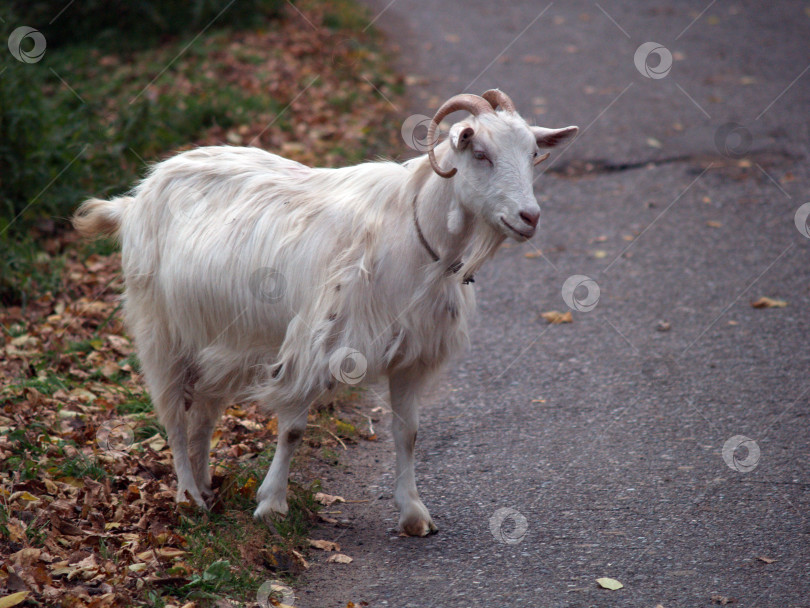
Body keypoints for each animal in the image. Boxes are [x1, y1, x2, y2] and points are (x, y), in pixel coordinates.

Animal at [73, 89, 577, 536]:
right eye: (479, 152)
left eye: (533, 153)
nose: (529, 217)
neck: (415, 235)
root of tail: (135, 198)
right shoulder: (315, 344)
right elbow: (294, 429)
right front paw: (272, 505)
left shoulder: (411, 356)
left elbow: (409, 433)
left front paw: (413, 513)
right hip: (160, 329)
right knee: (174, 415)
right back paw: (187, 497)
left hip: (220, 340)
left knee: (202, 416)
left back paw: (205, 488)